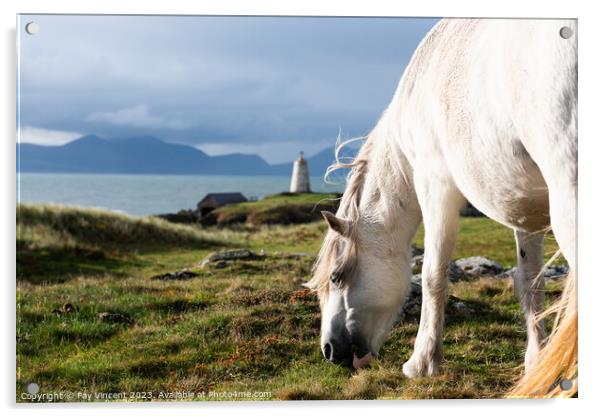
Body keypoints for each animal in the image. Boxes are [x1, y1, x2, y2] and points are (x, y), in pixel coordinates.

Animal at [308, 15, 576, 386]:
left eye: (336, 277)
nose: (330, 351)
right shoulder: (524, 205)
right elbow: (529, 282)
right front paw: (537, 362)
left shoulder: (435, 184)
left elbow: (433, 274)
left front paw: (422, 362)